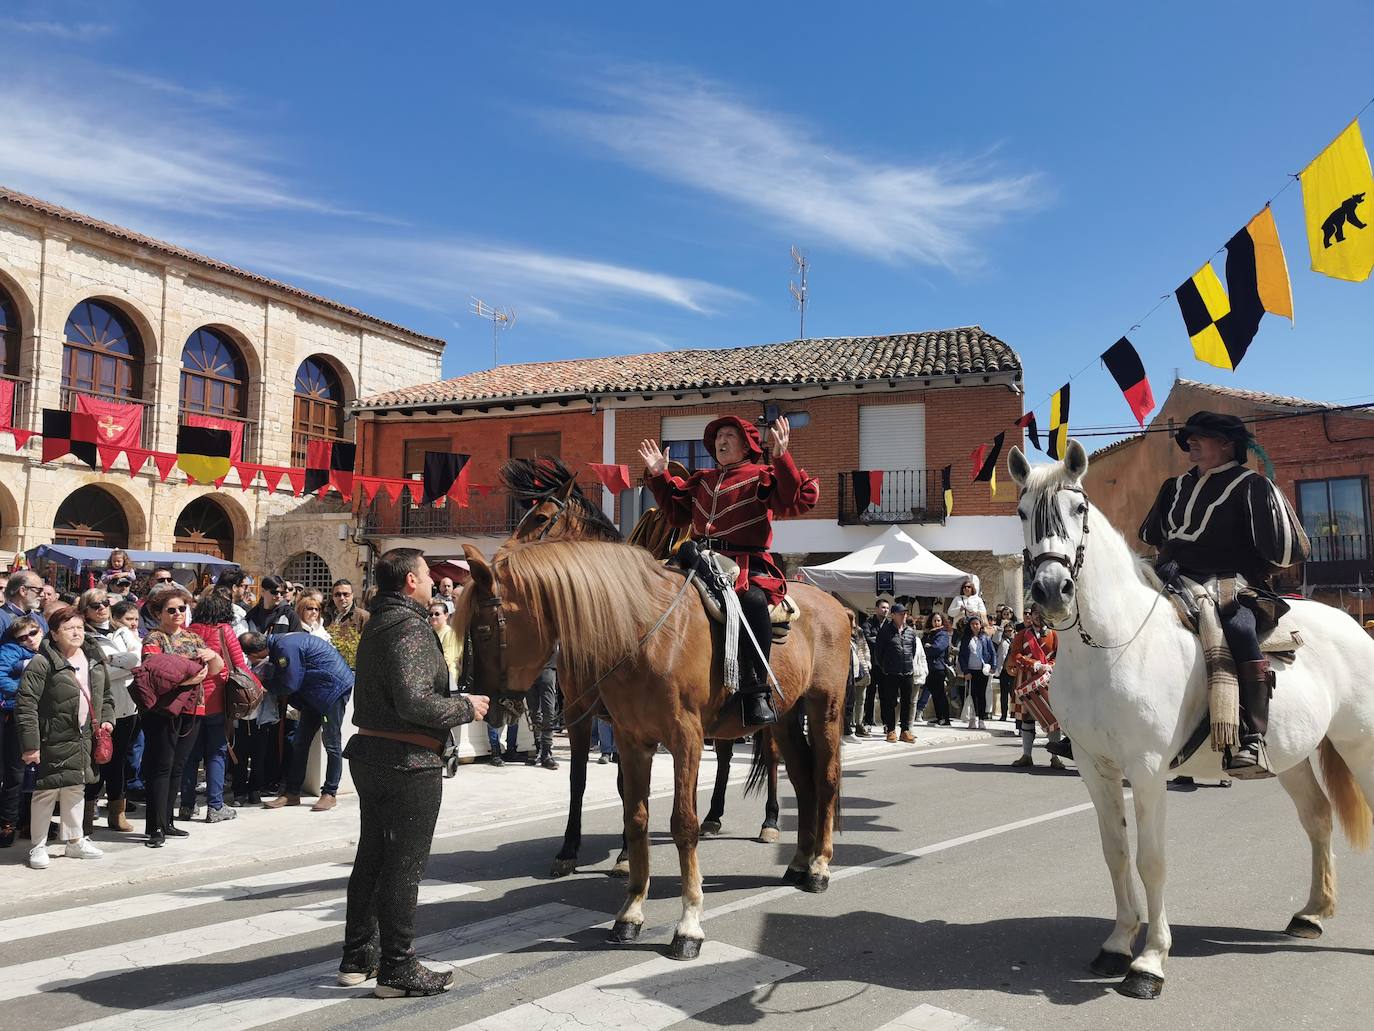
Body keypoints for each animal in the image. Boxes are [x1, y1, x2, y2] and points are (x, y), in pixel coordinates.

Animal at [461, 541, 846, 962]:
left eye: (483, 630)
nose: (485, 706)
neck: (643, 634)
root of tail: (834, 604)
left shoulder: (686, 739)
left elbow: (684, 824)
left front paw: (689, 924)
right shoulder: (631, 740)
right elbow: (635, 818)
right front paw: (630, 912)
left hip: (824, 709)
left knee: (825, 780)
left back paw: (819, 866)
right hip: (785, 717)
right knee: (804, 782)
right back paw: (799, 861)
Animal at [502, 459, 785, 879]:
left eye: (540, 517)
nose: (501, 560)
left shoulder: (628, 718)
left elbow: (626, 785)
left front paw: (624, 855)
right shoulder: (582, 713)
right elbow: (579, 778)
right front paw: (568, 849)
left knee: (772, 756)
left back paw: (770, 820)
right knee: (724, 756)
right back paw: (713, 816)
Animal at [1011, 442, 1374, 1000]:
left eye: (1078, 508)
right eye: (1023, 512)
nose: (1053, 590)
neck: (1112, 645)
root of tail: (1353, 624)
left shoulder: (1147, 768)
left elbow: (1151, 860)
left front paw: (1149, 962)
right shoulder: (1096, 768)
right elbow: (1115, 853)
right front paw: (1117, 944)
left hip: (1361, 743)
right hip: (1289, 757)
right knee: (1317, 817)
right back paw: (1312, 913)